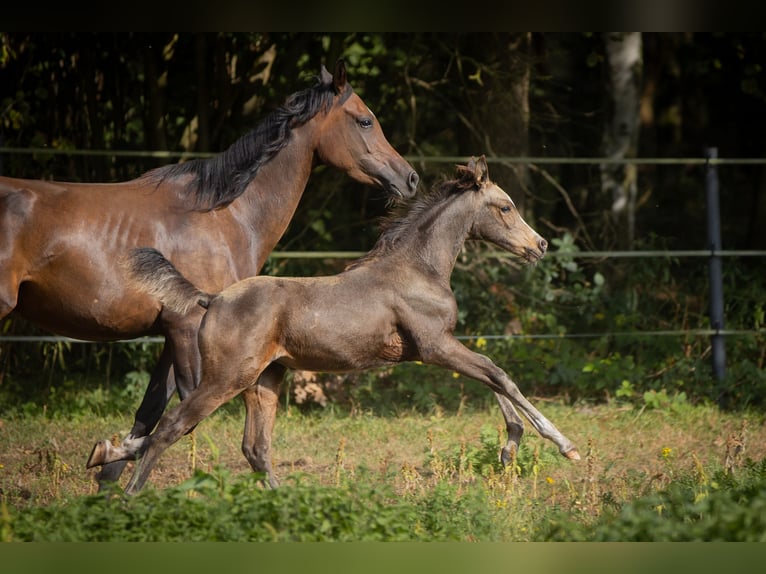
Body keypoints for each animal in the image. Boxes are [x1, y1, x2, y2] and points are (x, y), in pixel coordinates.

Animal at [0, 60, 420, 488]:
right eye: (365, 120)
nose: (410, 178)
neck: (223, 215)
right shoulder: (188, 327)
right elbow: (184, 418)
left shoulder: (173, 333)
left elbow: (151, 414)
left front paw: (107, 477)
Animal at [88, 158, 584, 496]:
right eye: (505, 207)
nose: (540, 244)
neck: (417, 269)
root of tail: (212, 299)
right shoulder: (435, 346)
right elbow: (499, 374)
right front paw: (565, 445)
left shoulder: (440, 347)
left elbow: (493, 379)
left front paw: (510, 447)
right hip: (227, 378)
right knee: (172, 428)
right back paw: (128, 498)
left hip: (265, 380)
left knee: (255, 448)